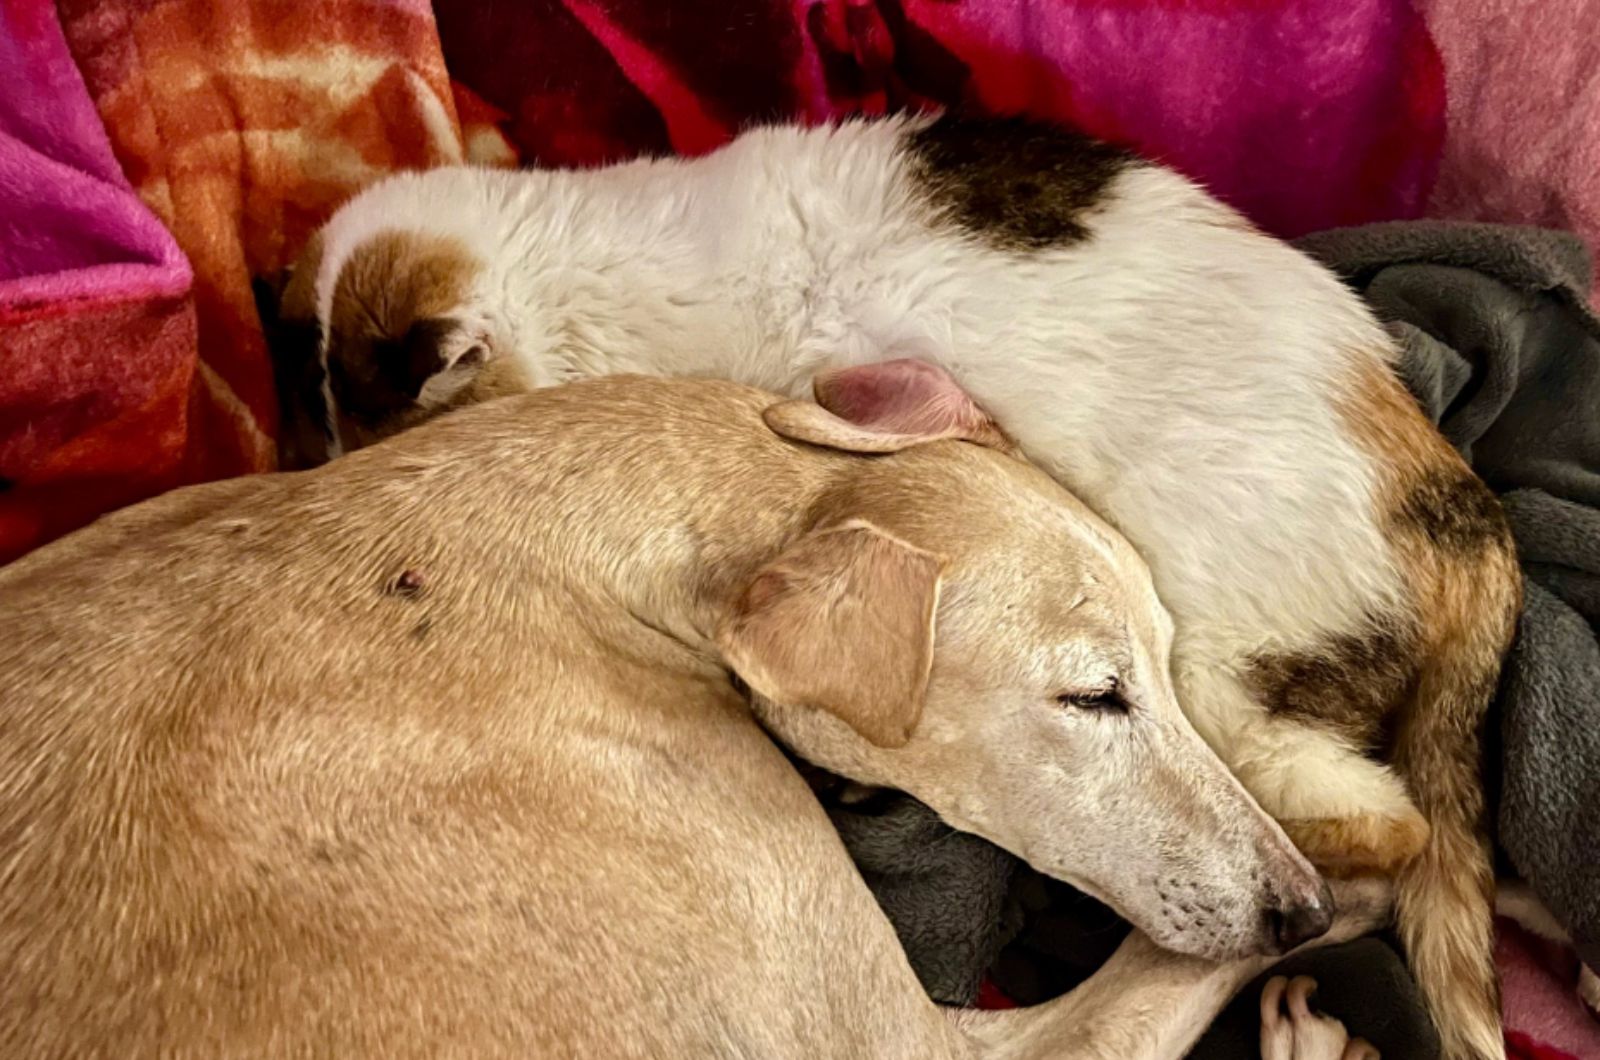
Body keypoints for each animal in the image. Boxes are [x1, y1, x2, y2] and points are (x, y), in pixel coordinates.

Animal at [0, 369, 1376, 1056]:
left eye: (1166, 662)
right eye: (1091, 694)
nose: (1298, 904)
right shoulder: (903, 1046)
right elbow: (1147, 989)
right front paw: (1368, 887)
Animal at [281, 114, 1516, 1060]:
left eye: (379, 429)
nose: (324, 472)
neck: (577, 261)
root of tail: (1457, 500)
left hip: (1235, 680)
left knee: (1381, 831)